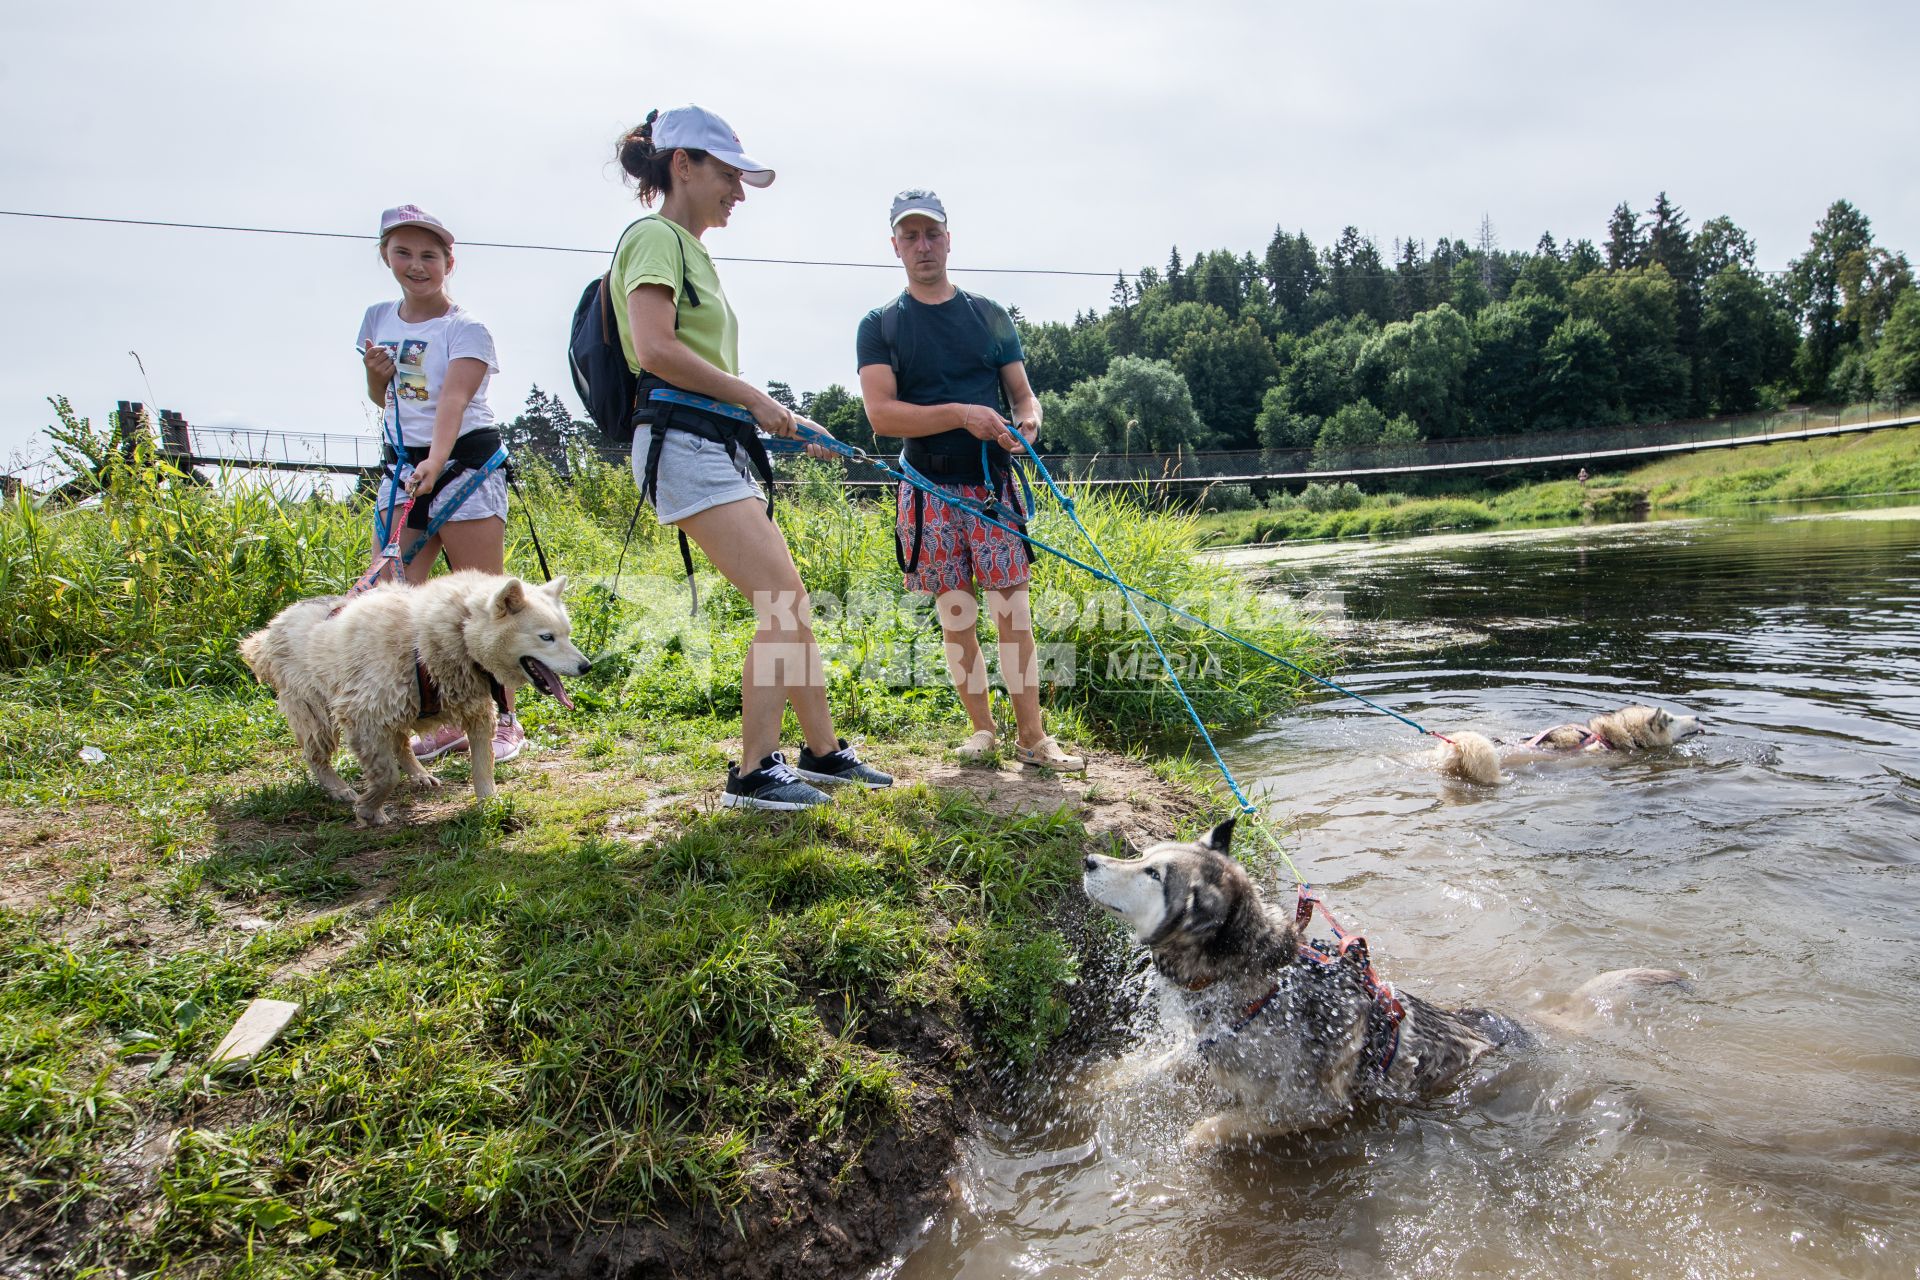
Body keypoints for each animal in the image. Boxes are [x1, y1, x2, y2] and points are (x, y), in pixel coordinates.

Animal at [239, 571, 587, 832]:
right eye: (546, 637)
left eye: (567, 633)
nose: (586, 666)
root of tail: (272, 628)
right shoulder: (361, 714)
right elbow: (385, 776)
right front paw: (369, 810)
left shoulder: (477, 713)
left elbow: (482, 767)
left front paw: (490, 805)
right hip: (317, 714)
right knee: (316, 756)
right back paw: (337, 788)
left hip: (397, 713)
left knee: (401, 744)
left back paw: (419, 774)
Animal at [1082, 821, 1681, 1151]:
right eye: (1142, 855)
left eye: (1153, 874)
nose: (1088, 858)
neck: (1259, 988)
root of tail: (1501, 1021)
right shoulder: (1208, 1047)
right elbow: (1153, 1063)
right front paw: (1096, 1081)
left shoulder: (1309, 1107)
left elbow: (1212, 1127)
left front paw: (1191, 1144)